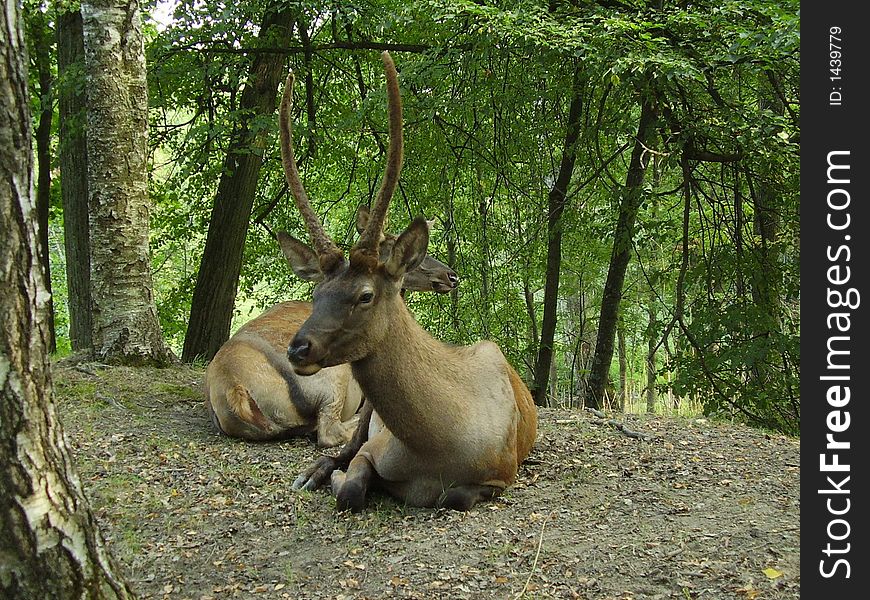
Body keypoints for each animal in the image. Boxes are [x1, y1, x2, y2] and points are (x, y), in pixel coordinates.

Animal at [282, 51, 540, 510]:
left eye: (365, 295)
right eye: (316, 292)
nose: (298, 349)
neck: (437, 446)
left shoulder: (501, 474)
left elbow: (456, 497)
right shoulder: (374, 446)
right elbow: (351, 486)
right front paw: (336, 478)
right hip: (366, 414)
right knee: (339, 448)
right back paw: (311, 473)